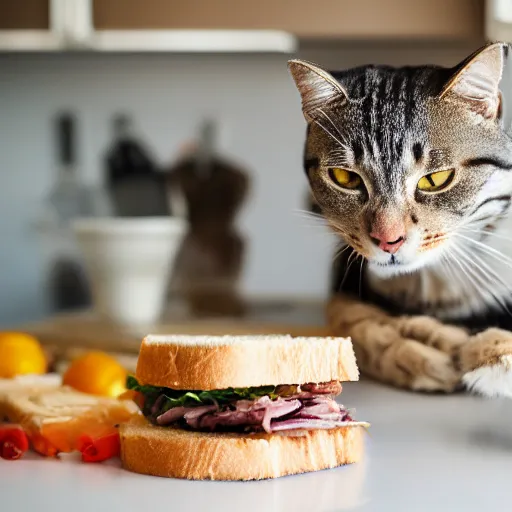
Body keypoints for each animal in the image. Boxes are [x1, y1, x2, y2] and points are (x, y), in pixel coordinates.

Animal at [288, 43, 512, 396]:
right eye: (344, 178)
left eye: (436, 179)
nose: (388, 240)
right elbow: (350, 321)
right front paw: (423, 346)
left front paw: (492, 352)